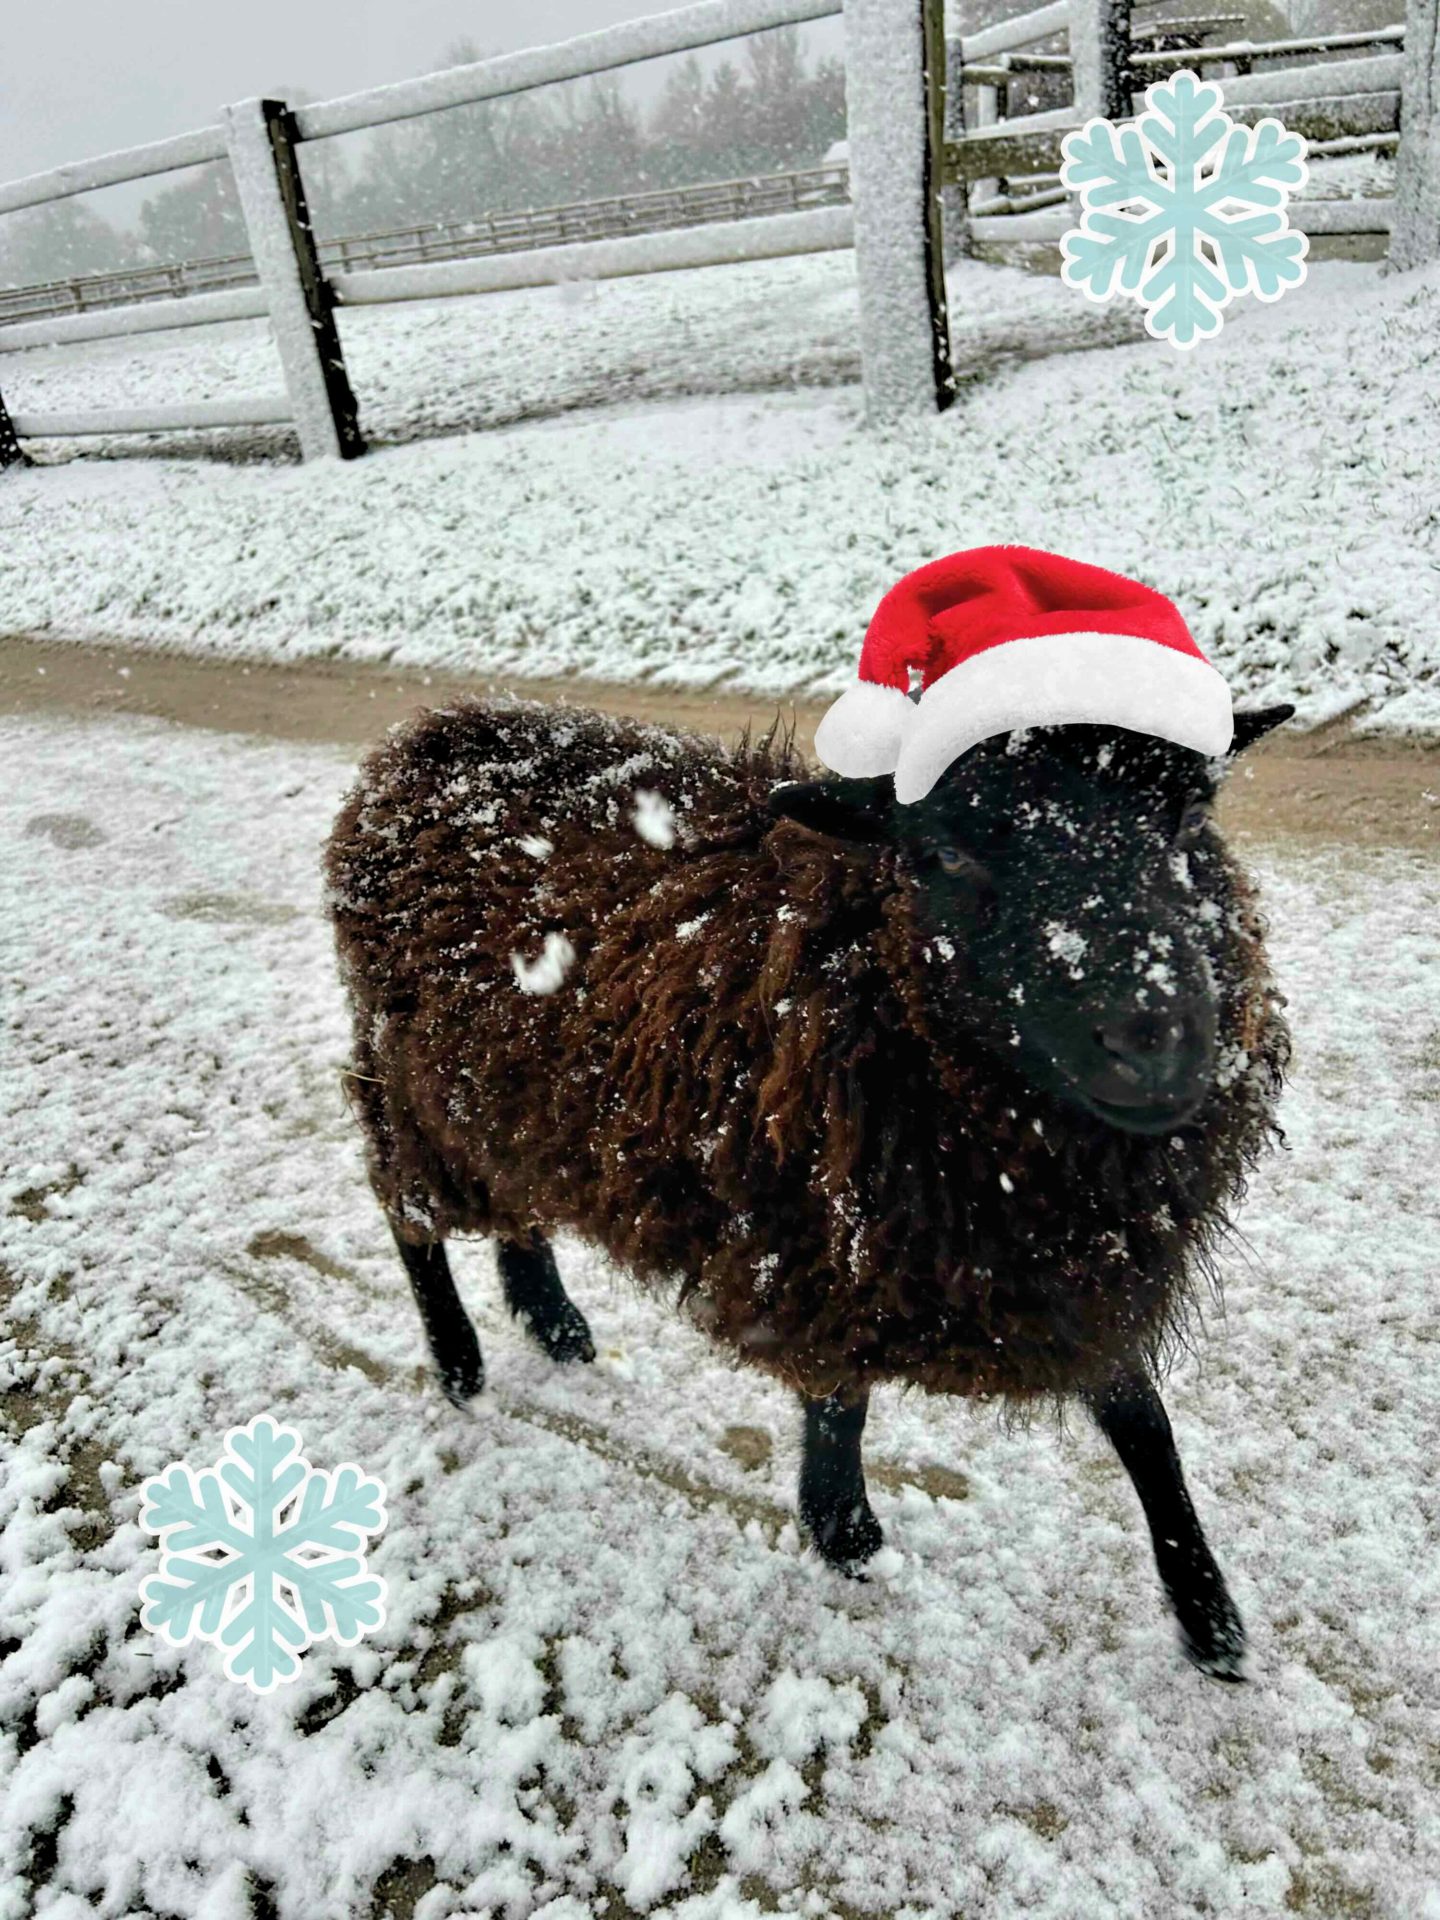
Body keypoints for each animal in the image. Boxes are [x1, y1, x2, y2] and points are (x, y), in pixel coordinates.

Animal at [326, 702, 1297, 1681]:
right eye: (946, 854)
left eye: (1189, 816)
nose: (1156, 1042)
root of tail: (423, 739)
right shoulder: (828, 1240)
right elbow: (842, 1401)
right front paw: (845, 1533)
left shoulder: (1065, 1267)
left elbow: (1145, 1424)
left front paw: (1209, 1614)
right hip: (408, 1084)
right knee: (408, 1217)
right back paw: (460, 1362)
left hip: (501, 1096)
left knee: (515, 1208)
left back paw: (554, 1321)